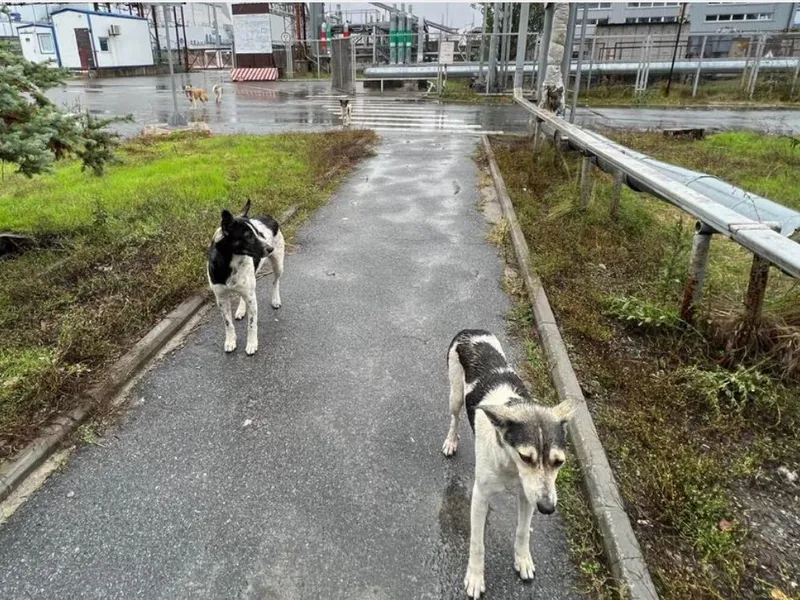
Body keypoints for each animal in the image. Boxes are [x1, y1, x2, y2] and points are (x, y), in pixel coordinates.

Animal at [206, 199, 284, 356]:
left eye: (259, 233)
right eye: (248, 236)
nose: (270, 248)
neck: (229, 262)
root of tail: (269, 217)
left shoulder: (251, 297)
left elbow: (252, 324)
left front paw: (252, 343)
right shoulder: (221, 298)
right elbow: (228, 323)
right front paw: (230, 341)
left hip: (278, 265)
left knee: (275, 281)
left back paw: (275, 299)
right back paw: (241, 310)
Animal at [440, 330, 572, 596]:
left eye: (559, 462)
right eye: (526, 457)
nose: (547, 508)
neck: (511, 465)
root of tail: (470, 331)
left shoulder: (528, 495)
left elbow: (521, 531)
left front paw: (523, 559)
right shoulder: (480, 495)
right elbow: (477, 543)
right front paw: (475, 577)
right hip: (455, 395)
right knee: (454, 418)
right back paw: (451, 441)